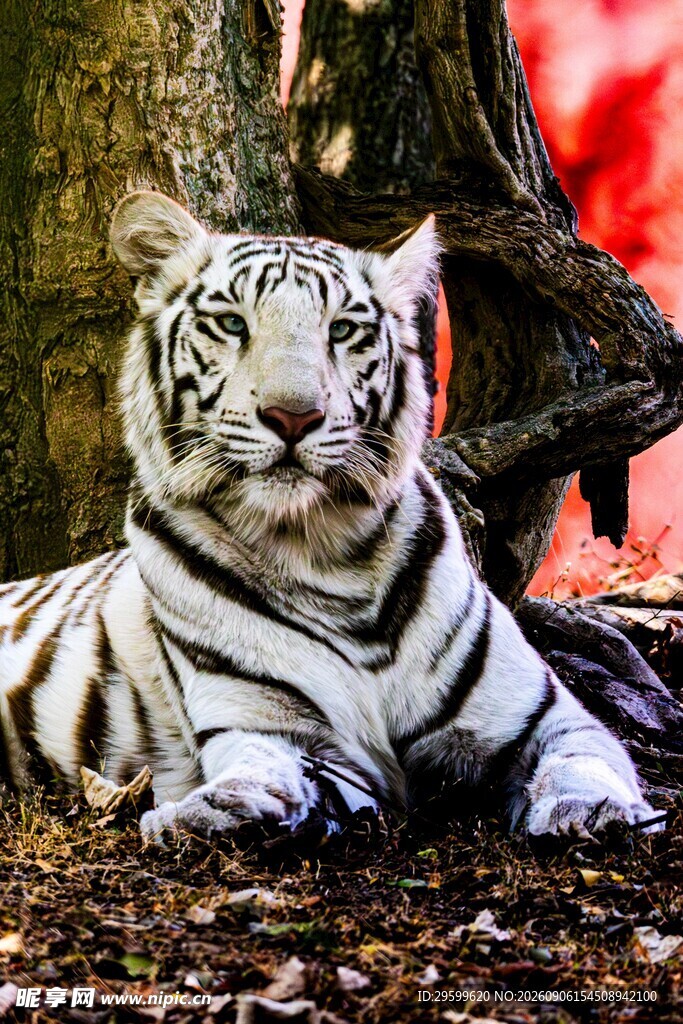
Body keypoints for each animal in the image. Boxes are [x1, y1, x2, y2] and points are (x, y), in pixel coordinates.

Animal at [0, 190, 657, 842]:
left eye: (342, 330)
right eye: (232, 323)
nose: (293, 416)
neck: (322, 552)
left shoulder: (541, 716)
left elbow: (583, 761)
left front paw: (597, 814)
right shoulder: (277, 727)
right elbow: (266, 770)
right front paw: (206, 813)